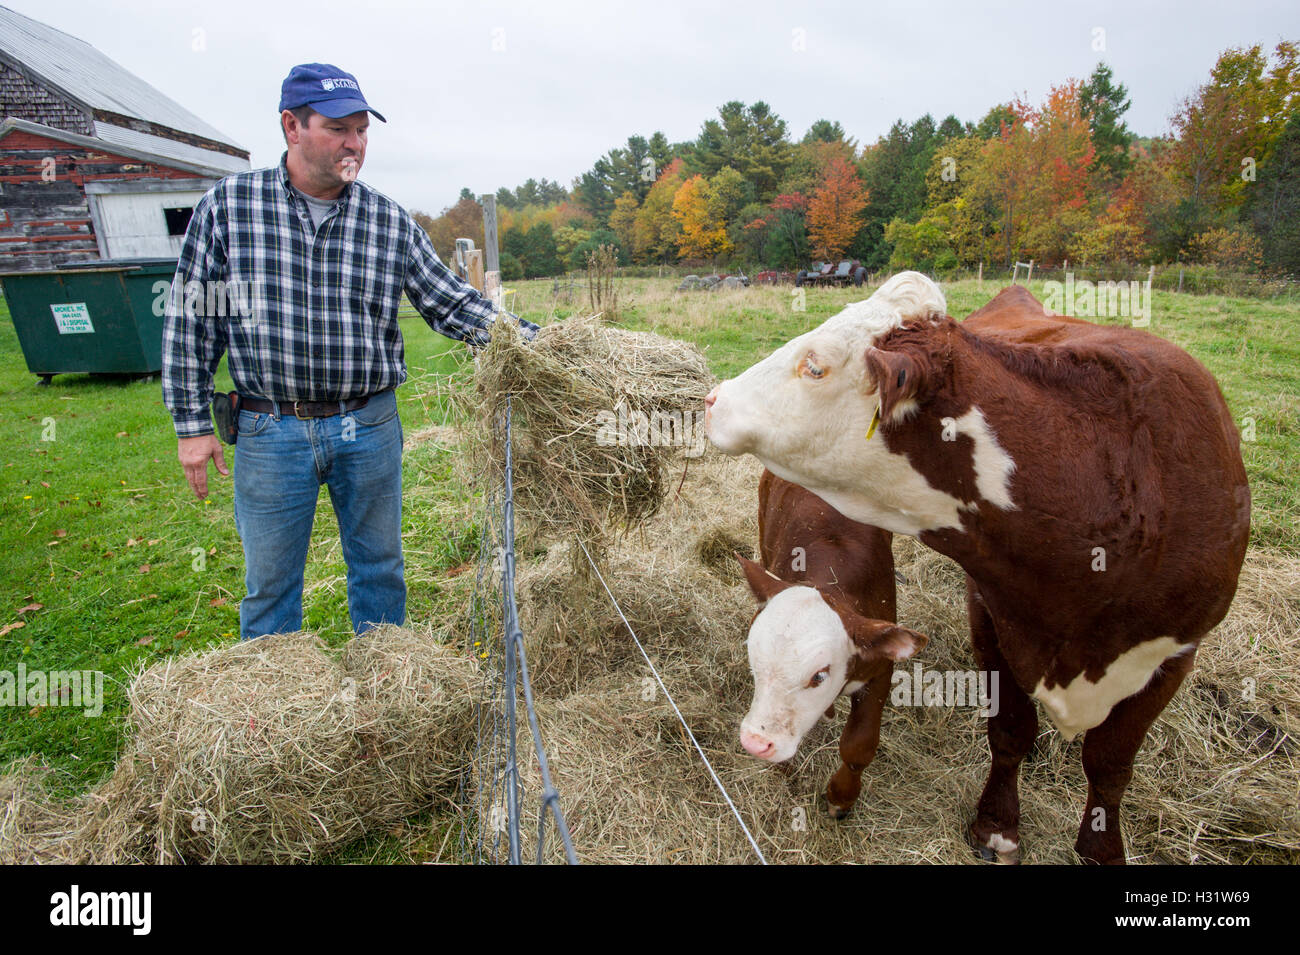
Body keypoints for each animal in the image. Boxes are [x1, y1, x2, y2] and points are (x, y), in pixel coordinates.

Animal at [738, 470, 927, 818]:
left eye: (819, 676)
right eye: (754, 664)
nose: (755, 742)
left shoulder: (879, 666)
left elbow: (859, 745)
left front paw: (842, 796)